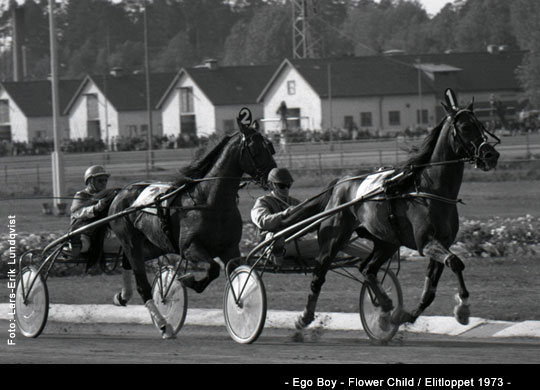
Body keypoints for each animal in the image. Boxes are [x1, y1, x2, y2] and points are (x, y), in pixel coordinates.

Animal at [107, 109, 276, 338]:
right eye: (256, 148)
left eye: (270, 146)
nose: (273, 175)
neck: (210, 201)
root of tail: (121, 193)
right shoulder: (190, 248)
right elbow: (213, 268)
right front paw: (188, 281)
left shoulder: (230, 249)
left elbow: (238, 277)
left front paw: (242, 306)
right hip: (131, 241)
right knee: (142, 285)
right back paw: (164, 325)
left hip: (154, 246)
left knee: (127, 261)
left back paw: (123, 296)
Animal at [286, 90, 502, 330]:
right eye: (464, 127)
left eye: (480, 125)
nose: (490, 155)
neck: (431, 190)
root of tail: (341, 181)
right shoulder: (426, 243)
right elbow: (455, 262)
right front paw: (463, 308)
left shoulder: (442, 242)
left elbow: (432, 288)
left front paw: (406, 315)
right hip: (334, 237)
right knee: (320, 273)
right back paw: (305, 317)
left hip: (386, 241)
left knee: (367, 269)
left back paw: (385, 305)